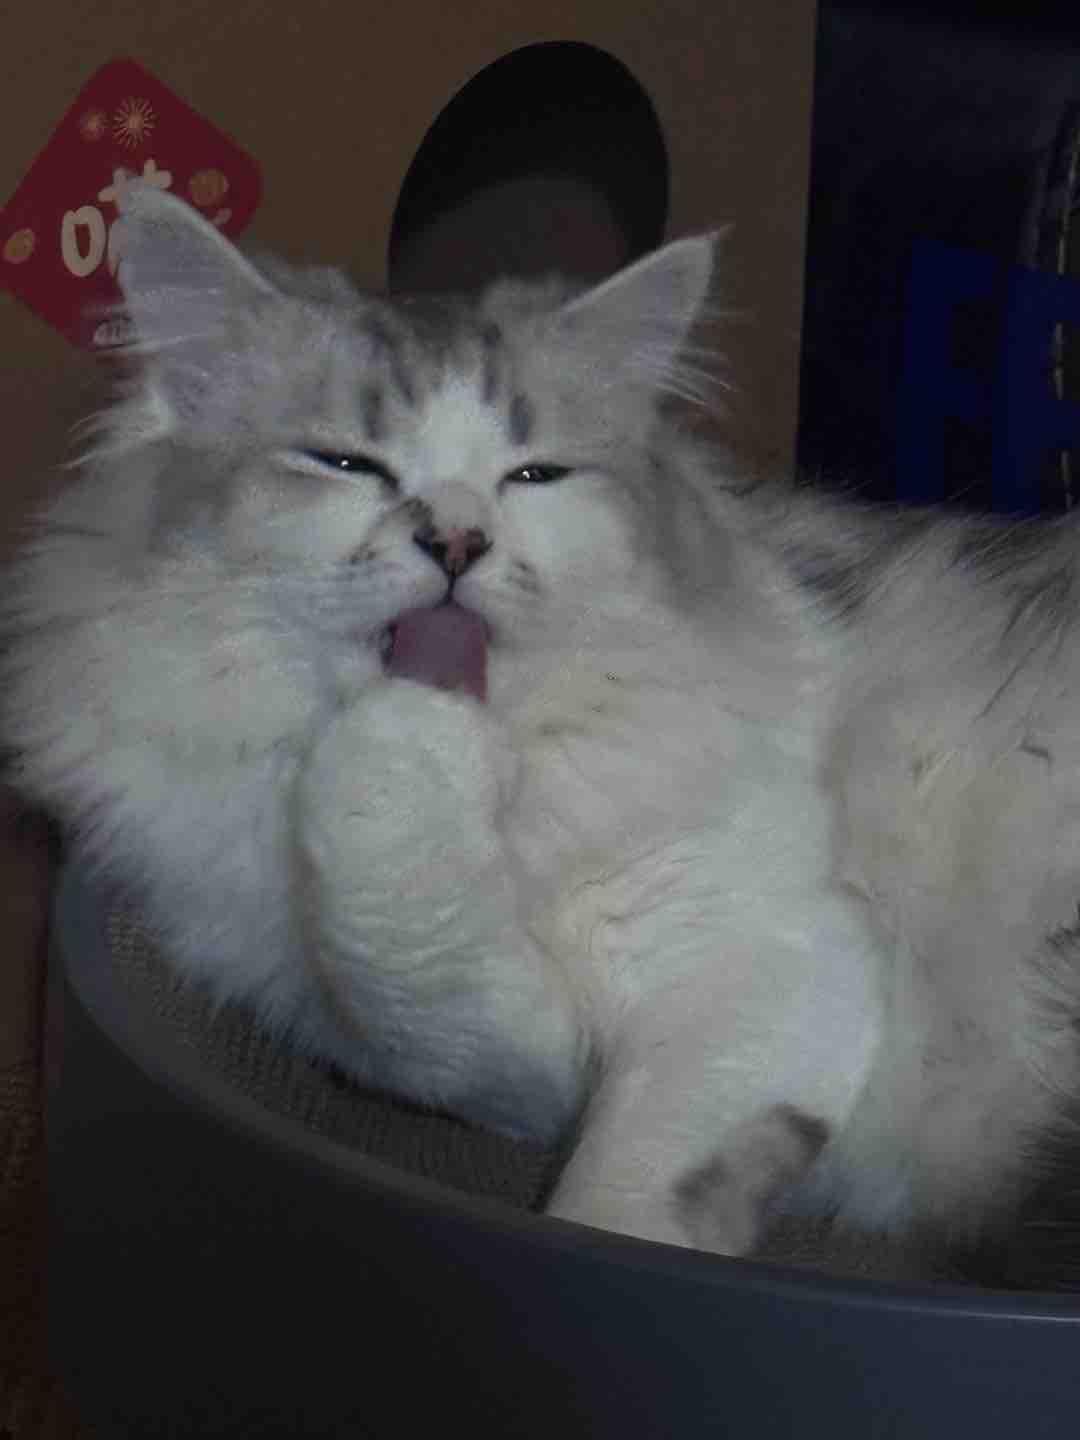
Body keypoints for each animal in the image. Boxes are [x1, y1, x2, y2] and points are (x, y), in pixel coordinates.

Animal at [5, 181, 1080, 1258]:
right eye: (346, 462)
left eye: (535, 476)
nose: (456, 541)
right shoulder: (442, 1044)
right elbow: (425, 995)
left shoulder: (761, 954)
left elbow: (625, 1196)